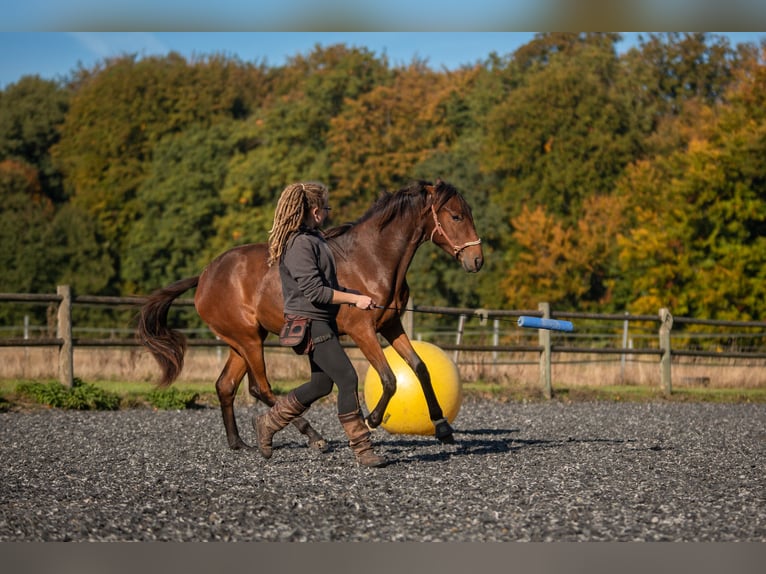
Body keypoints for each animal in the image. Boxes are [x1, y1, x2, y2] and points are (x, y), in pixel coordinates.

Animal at [138, 182, 484, 452]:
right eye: (455, 216)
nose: (477, 260)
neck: (371, 259)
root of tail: (205, 275)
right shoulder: (362, 330)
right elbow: (388, 378)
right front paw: (372, 419)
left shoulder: (390, 324)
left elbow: (419, 368)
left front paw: (443, 429)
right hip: (248, 341)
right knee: (260, 388)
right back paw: (313, 437)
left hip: (243, 341)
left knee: (226, 386)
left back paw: (239, 443)